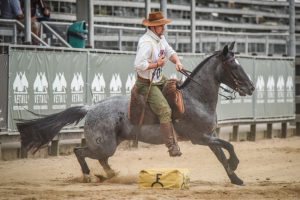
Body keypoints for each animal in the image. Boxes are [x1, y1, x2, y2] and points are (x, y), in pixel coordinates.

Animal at [16, 42, 254, 186]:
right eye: (233, 65)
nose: (251, 88)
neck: (196, 98)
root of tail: (91, 108)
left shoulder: (209, 137)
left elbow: (222, 154)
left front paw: (236, 178)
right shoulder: (200, 138)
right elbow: (229, 146)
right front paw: (235, 165)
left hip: (111, 144)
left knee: (99, 159)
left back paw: (111, 175)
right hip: (104, 145)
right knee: (80, 151)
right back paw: (89, 176)